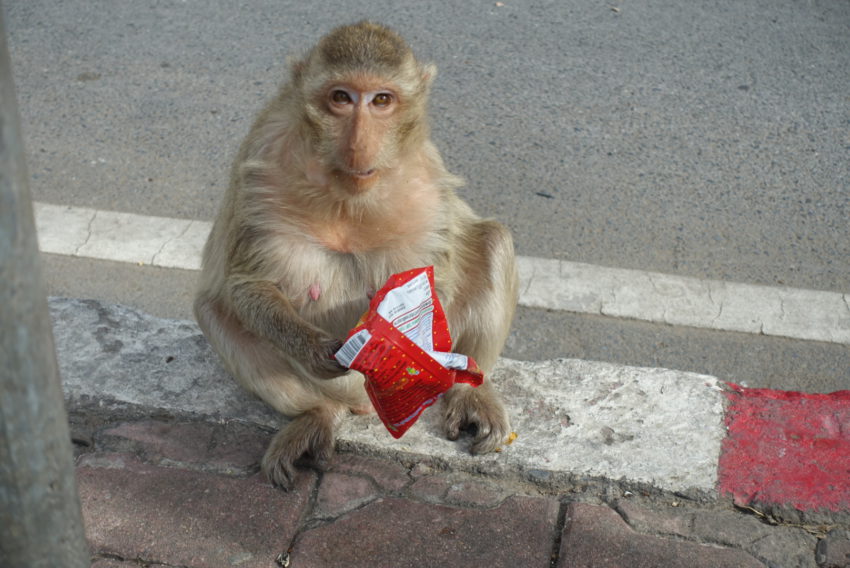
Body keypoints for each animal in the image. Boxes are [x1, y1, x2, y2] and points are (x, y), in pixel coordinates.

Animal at [194, 21, 516, 488]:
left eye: (382, 100)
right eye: (341, 98)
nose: (359, 143)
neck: (347, 195)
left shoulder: (426, 172)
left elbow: (438, 275)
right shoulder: (262, 156)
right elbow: (246, 283)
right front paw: (315, 348)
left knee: (493, 240)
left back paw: (469, 391)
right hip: (336, 389)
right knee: (214, 311)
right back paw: (316, 414)